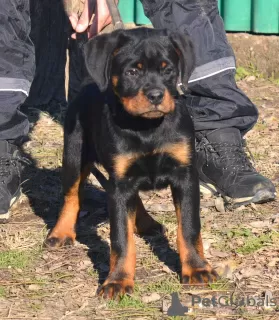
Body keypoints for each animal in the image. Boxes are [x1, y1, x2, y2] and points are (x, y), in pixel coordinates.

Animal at [44, 28, 219, 300]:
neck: (147, 128)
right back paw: (60, 233)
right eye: (132, 72)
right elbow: (121, 238)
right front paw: (117, 281)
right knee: (71, 195)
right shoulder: (120, 183)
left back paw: (145, 222)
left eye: (167, 70)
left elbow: (189, 228)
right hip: (73, 154)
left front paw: (197, 268)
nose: (156, 95)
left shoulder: (185, 175)